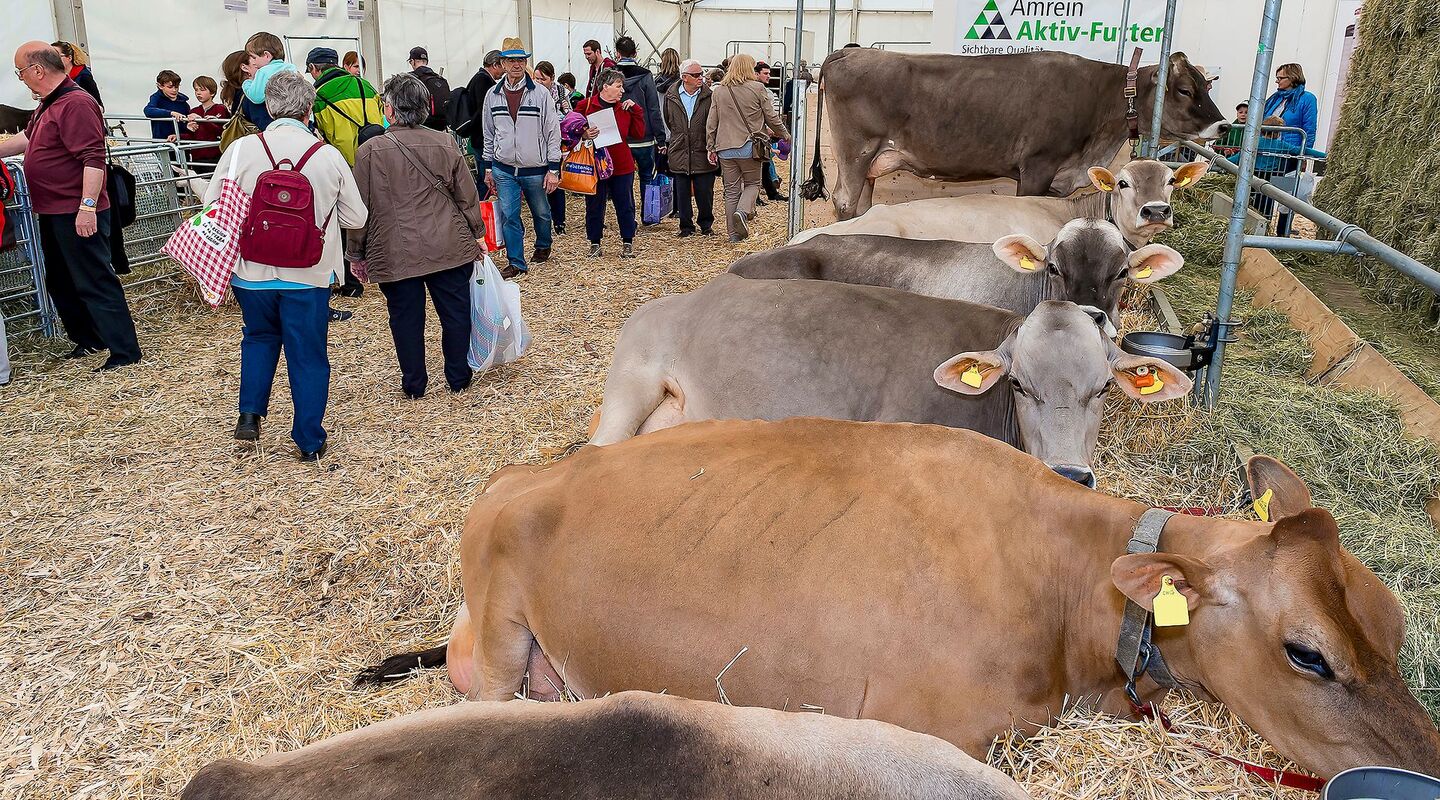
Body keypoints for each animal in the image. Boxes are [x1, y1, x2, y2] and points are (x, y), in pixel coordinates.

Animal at [359, 418, 1440, 781]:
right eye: (1307, 652)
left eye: (1393, 623)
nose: (1425, 766)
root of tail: (523, 474)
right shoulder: (937, 729)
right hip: (502, 636)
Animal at [801, 49, 1225, 219]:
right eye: (1184, 90)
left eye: (1207, 85)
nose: (1221, 125)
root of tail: (847, 51)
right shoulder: (1037, 165)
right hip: (855, 150)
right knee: (843, 201)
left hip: (871, 160)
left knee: (860, 204)